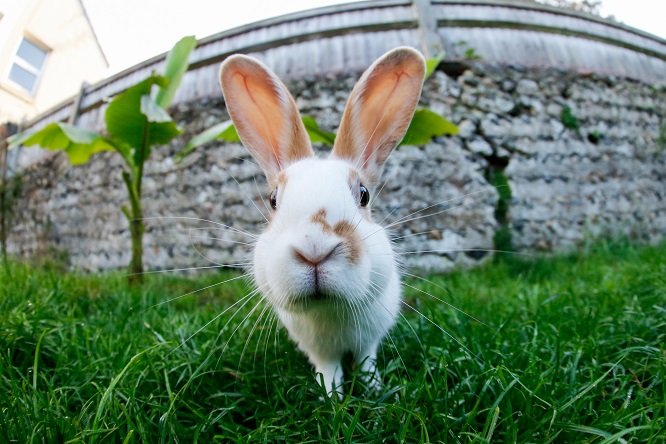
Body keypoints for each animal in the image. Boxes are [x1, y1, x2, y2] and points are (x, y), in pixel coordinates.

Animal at [219, 46, 426, 396]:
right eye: (273, 199)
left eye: (364, 194)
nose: (314, 250)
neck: (329, 310)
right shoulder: (319, 351)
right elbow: (329, 370)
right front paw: (331, 397)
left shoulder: (369, 340)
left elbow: (367, 361)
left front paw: (375, 389)